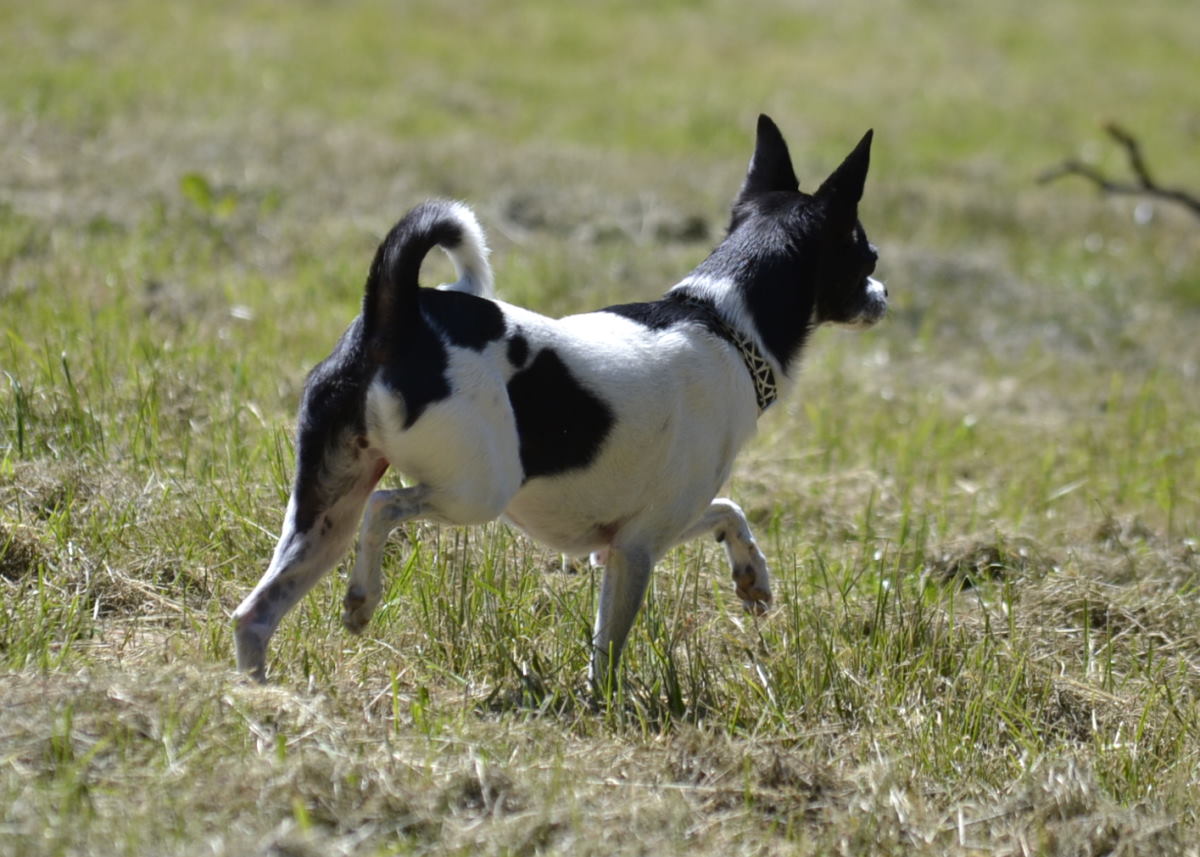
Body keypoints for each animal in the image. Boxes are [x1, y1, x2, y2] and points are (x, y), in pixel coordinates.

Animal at [234, 115, 888, 686]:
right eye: (869, 256)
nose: (884, 295)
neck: (723, 321)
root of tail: (397, 314)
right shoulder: (635, 550)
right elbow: (609, 647)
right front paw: (606, 706)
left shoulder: (638, 532)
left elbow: (729, 511)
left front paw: (754, 577)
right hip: (475, 492)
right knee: (383, 510)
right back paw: (362, 598)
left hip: (324, 511)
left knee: (255, 614)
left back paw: (262, 698)